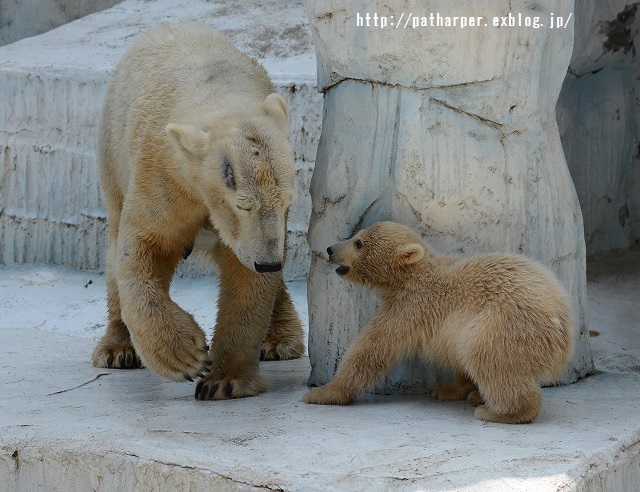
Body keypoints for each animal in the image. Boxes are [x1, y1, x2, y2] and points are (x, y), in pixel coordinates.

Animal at [90, 22, 308, 400]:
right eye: (242, 203)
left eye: (288, 202)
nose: (269, 262)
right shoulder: (164, 172)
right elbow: (146, 245)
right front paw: (186, 356)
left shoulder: (258, 230)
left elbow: (244, 278)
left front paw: (224, 380)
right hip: (112, 153)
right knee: (115, 243)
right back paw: (118, 348)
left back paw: (280, 339)